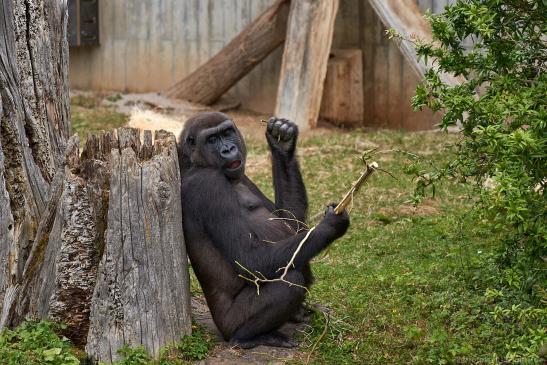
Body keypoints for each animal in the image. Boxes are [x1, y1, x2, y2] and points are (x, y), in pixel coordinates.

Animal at [180, 111, 352, 346]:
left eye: (227, 133)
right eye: (212, 139)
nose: (228, 150)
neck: (197, 163)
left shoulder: (243, 176)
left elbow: (290, 221)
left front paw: (283, 144)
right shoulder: (208, 185)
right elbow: (251, 259)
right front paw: (331, 225)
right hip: (229, 323)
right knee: (289, 282)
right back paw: (247, 337)